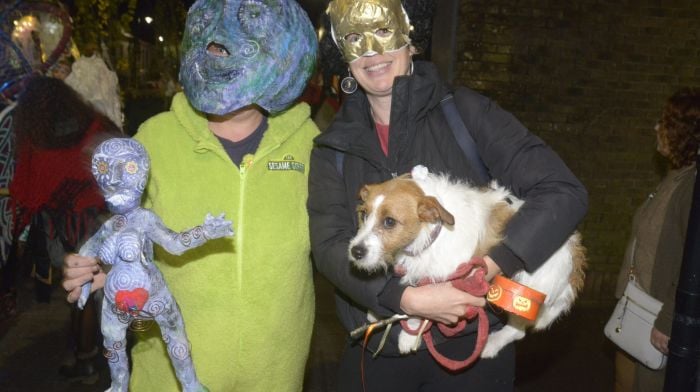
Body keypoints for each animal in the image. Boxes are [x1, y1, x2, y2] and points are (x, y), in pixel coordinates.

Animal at [348, 165, 584, 358]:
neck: (432, 232)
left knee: (517, 330)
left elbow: (418, 309)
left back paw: (490, 345)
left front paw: (409, 335)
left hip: (525, 291)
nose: (355, 251)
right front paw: (375, 311)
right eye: (364, 215)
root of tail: (574, 252)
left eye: (389, 222)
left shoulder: (448, 280)